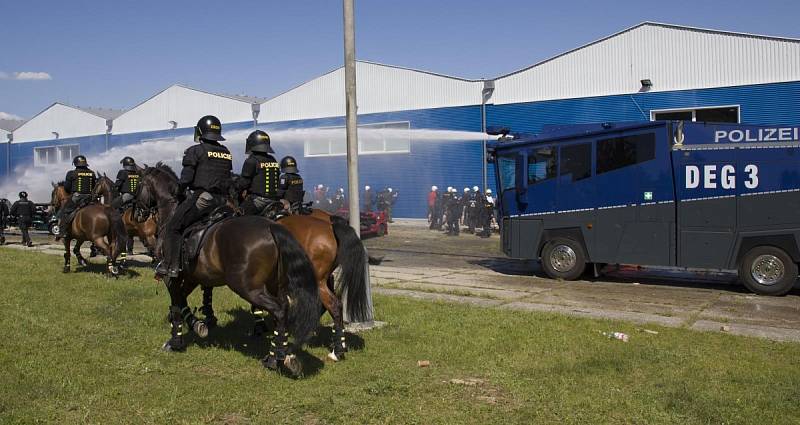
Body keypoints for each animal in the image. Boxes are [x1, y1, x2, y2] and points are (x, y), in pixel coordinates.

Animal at [138, 163, 322, 374]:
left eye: (139, 184)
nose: (138, 213)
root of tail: (271, 228)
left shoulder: (172, 276)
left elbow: (177, 302)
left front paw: (178, 338)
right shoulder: (192, 277)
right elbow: (184, 299)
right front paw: (197, 323)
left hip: (246, 287)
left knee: (279, 309)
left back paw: (275, 359)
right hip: (272, 284)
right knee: (282, 311)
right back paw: (279, 354)